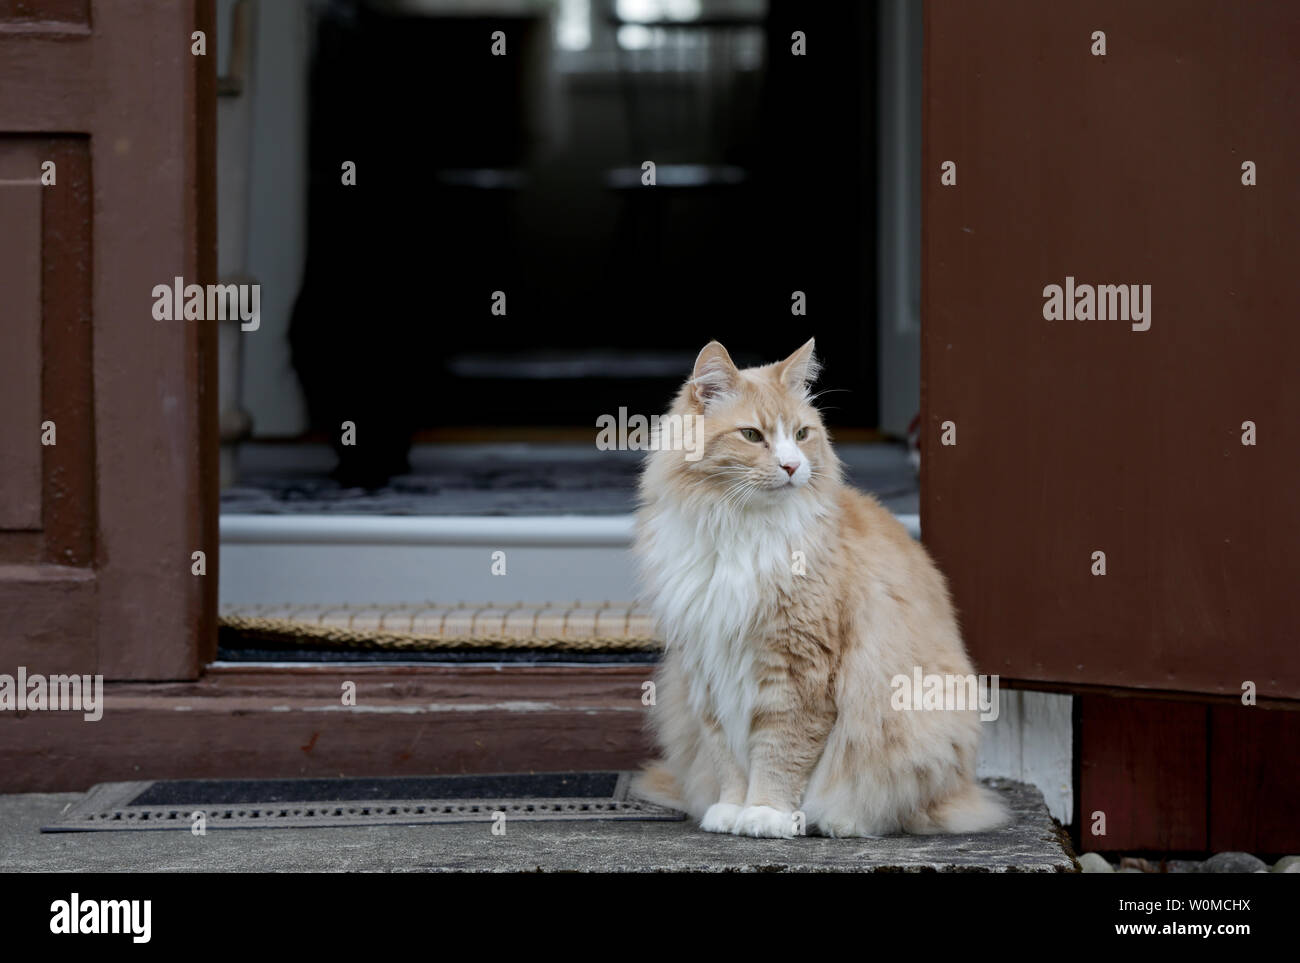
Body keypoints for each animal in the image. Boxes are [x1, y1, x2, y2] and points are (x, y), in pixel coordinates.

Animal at [629, 337, 1003, 831]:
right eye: (752, 436)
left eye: (802, 434)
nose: (792, 466)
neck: (738, 530)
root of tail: (965, 792)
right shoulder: (708, 670)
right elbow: (728, 757)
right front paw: (731, 809)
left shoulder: (797, 667)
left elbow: (780, 753)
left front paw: (766, 814)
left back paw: (836, 822)